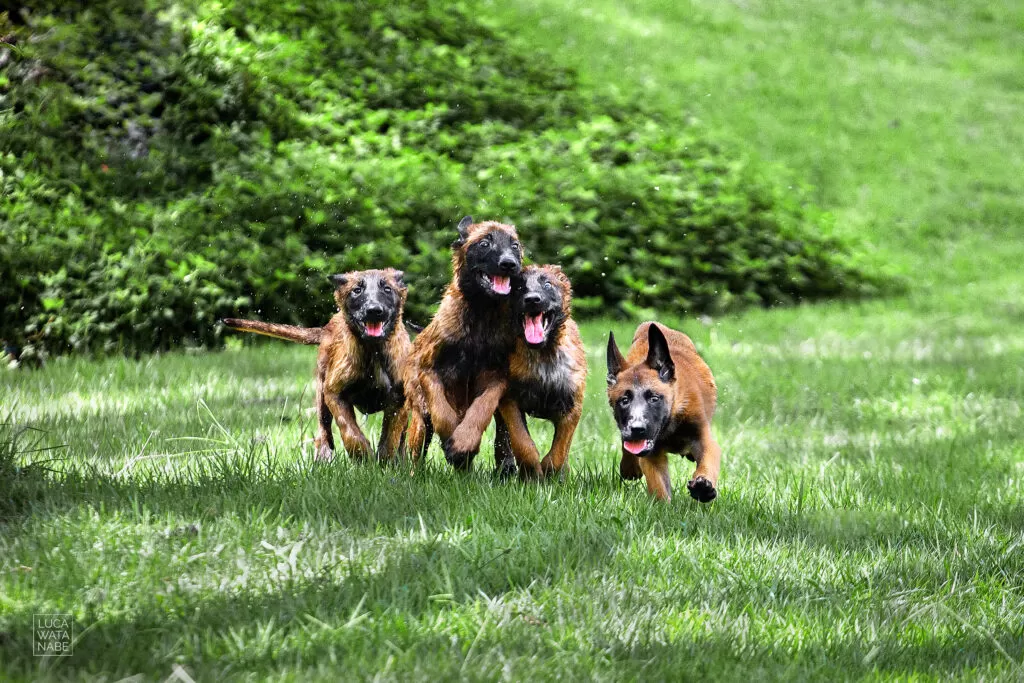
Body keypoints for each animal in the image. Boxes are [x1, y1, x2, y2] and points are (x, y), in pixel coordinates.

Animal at [225, 270, 411, 462]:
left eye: (387, 289)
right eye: (357, 290)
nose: (374, 311)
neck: (373, 350)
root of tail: (327, 328)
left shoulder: (399, 399)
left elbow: (392, 435)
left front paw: (385, 461)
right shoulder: (334, 393)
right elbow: (349, 431)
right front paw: (363, 456)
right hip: (321, 391)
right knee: (324, 428)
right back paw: (323, 456)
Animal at [401, 218, 524, 471]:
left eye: (515, 245)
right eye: (485, 243)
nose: (509, 264)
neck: (481, 311)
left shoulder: (497, 378)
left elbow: (482, 408)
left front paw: (463, 442)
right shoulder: (429, 370)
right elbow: (441, 410)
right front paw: (453, 439)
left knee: (503, 431)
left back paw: (504, 466)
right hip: (418, 409)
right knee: (417, 443)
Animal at [493, 264, 585, 479]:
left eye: (547, 284)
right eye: (518, 287)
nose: (532, 299)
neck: (543, 355)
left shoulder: (571, 406)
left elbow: (559, 451)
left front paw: (552, 474)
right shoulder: (510, 400)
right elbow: (522, 443)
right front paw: (532, 473)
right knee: (502, 437)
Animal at [606, 321, 720, 501]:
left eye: (654, 398)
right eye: (624, 401)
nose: (637, 429)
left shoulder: (704, 439)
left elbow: (707, 461)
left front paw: (703, 486)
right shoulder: (651, 455)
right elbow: (659, 485)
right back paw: (629, 466)